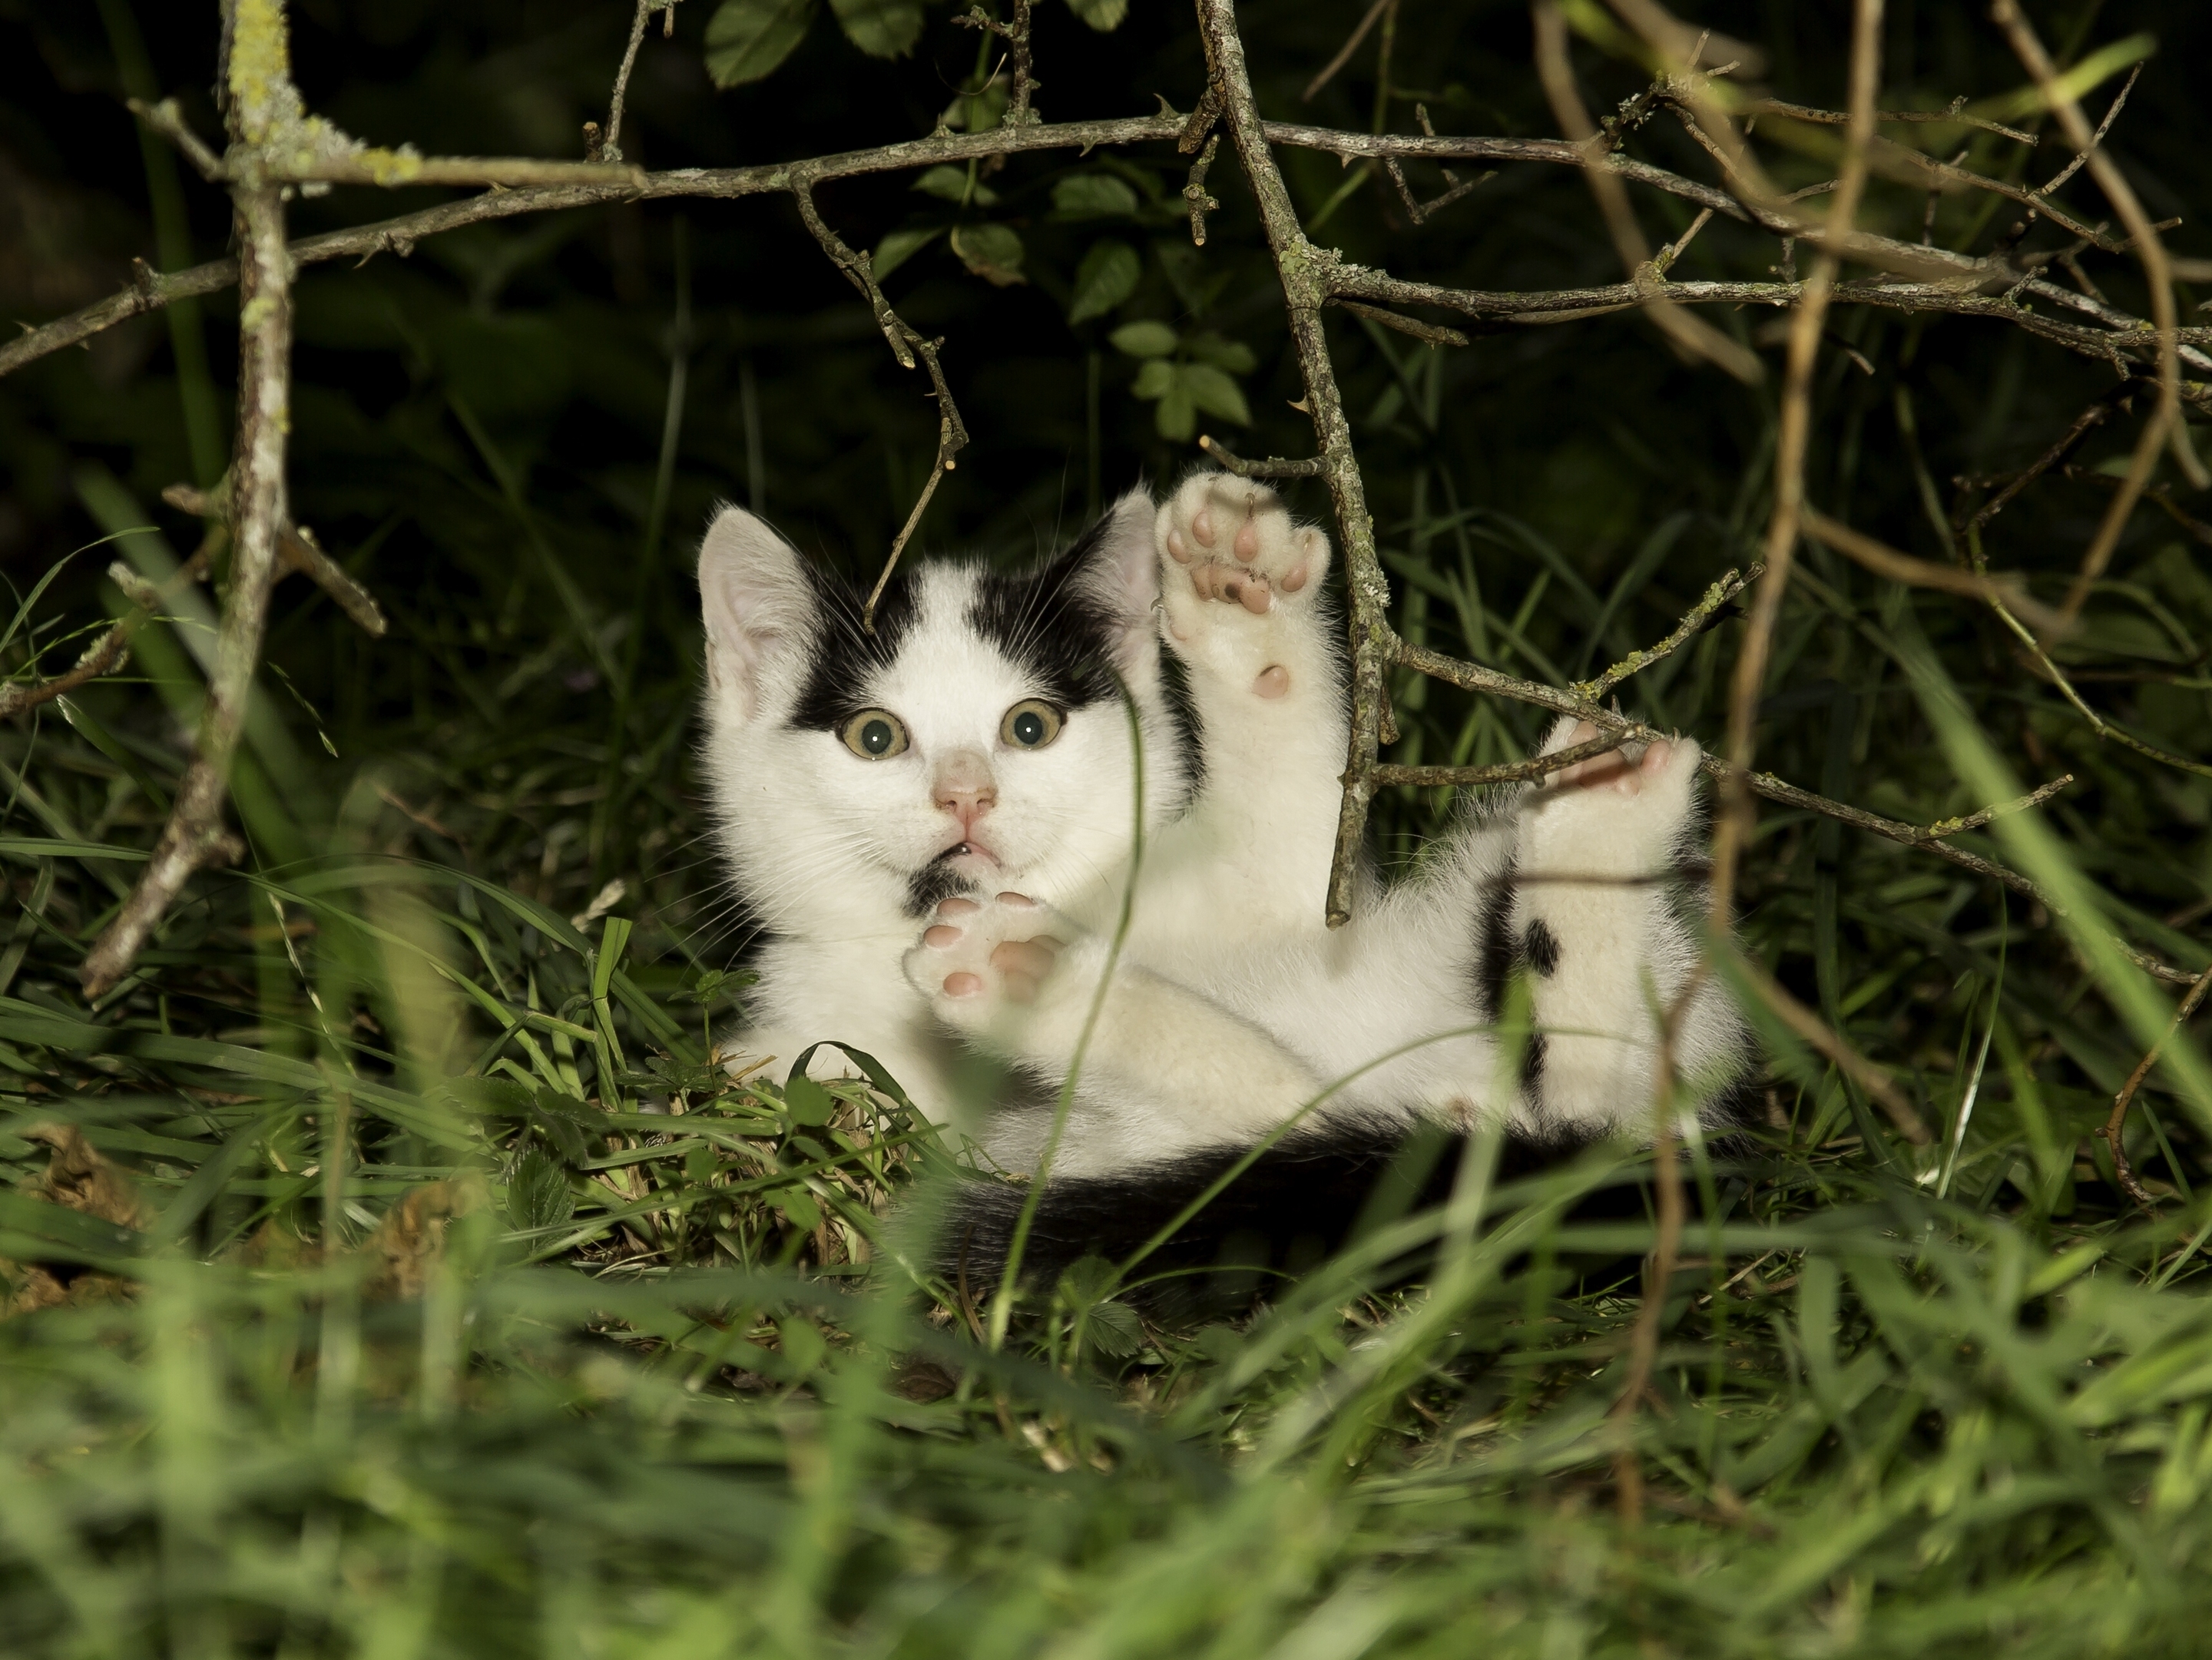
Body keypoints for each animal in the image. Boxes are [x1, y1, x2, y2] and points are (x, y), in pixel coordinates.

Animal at [690, 473, 1743, 1310]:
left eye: (1030, 727)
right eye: (874, 737)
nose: (966, 793)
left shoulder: (1283, 901)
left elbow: (1292, 830)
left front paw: (1243, 602)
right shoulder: (860, 1084)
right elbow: (1277, 1100)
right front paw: (1036, 974)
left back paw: (1597, 816)